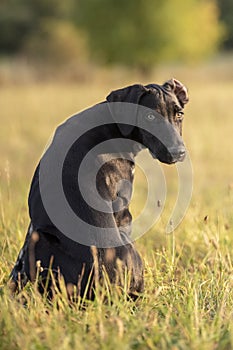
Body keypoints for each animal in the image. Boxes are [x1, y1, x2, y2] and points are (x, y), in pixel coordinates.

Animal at [9, 78, 189, 298]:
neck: (114, 124)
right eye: (149, 116)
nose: (178, 152)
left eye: (179, 114)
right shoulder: (122, 211)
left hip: (38, 238)